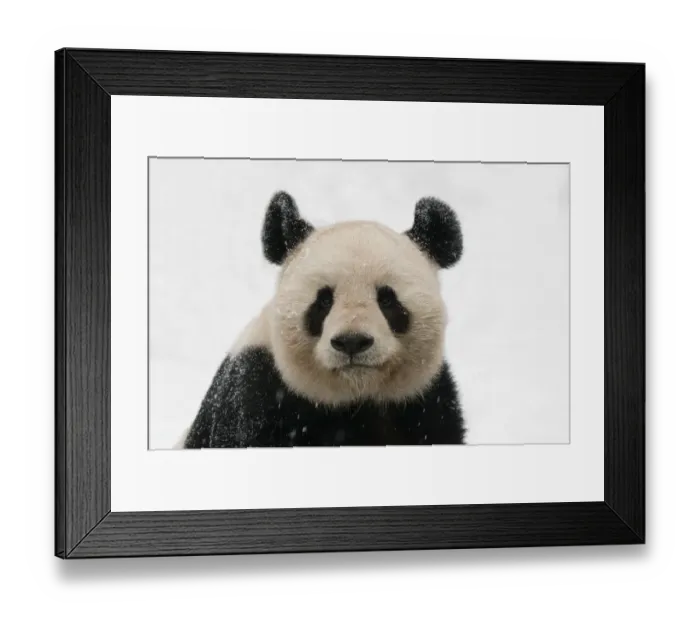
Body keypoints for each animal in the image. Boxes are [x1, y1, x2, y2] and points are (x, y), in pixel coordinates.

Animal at [178, 191, 466, 448]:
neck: (356, 397)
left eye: (387, 299)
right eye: (324, 300)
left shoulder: (425, 402)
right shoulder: (256, 395)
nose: (352, 342)